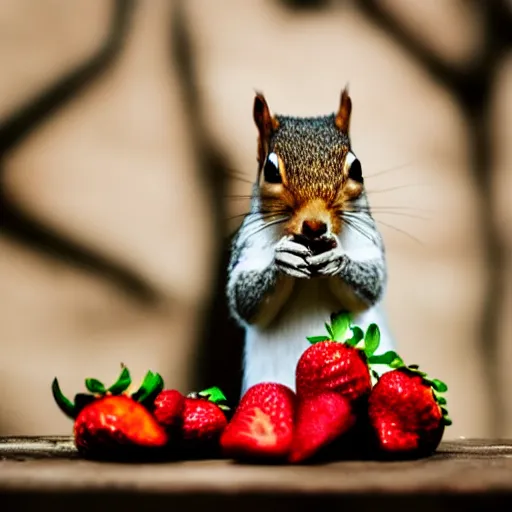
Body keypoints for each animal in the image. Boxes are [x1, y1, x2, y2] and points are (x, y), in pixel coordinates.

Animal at [227, 89, 396, 392]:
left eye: (357, 168)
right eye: (270, 170)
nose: (315, 225)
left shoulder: (367, 239)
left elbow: (371, 284)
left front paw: (338, 259)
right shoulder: (248, 244)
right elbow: (244, 300)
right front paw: (282, 260)